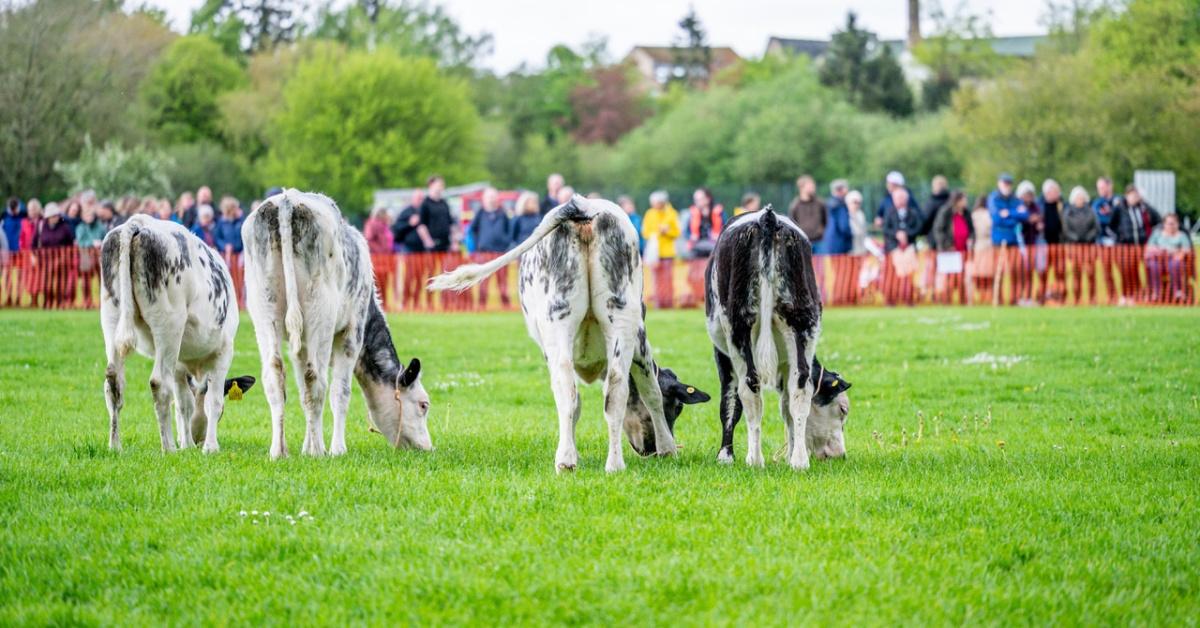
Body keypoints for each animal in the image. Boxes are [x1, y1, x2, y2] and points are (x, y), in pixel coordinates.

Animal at [100, 216, 255, 451]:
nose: (199, 438)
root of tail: (138, 222)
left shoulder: (180, 363)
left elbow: (183, 404)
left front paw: (188, 445)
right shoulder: (224, 351)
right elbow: (213, 401)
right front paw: (209, 447)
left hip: (112, 316)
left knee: (113, 382)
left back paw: (115, 446)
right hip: (168, 324)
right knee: (158, 383)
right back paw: (169, 447)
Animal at [240, 189, 432, 458]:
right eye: (423, 405)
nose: (427, 447)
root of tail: (287, 202)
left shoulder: (299, 347)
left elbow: (301, 391)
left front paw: (306, 446)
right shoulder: (352, 333)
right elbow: (340, 392)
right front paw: (335, 448)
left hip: (265, 311)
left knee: (275, 377)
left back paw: (279, 450)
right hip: (320, 316)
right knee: (316, 381)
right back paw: (319, 450)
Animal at [432, 196, 710, 470]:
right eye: (677, 407)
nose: (650, 449)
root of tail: (585, 207)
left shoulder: (638, 342)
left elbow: (649, 392)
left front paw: (667, 448)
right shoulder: (640, 342)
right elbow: (648, 392)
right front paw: (667, 448)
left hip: (572, 324)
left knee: (574, 390)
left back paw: (570, 460)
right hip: (614, 317)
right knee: (612, 390)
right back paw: (610, 464)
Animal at [700, 208, 854, 468]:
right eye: (842, 409)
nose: (839, 454)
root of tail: (767, 218)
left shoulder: (722, 352)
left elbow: (729, 402)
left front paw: (725, 455)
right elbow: (787, 407)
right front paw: (791, 452)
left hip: (738, 328)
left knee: (750, 389)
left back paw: (755, 459)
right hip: (802, 322)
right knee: (800, 388)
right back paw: (799, 461)